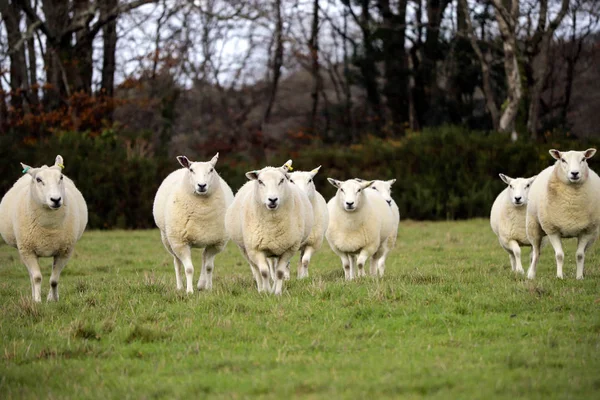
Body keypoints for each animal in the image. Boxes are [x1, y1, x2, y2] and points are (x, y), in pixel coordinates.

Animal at [0, 155, 88, 302]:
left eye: (61, 177)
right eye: (38, 180)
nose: (56, 199)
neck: (48, 227)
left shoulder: (64, 251)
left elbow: (54, 280)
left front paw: (54, 299)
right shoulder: (27, 250)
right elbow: (36, 278)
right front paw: (37, 300)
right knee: (31, 276)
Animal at [151, 153, 233, 294]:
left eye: (211, 170)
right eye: (191, 170)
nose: (202, 185)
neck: (201, 214)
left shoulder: (216, 243)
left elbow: (209, 267)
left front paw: (208, 288)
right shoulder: (180, 242)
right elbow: (189, 269)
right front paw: (189, 291)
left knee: (204, 258)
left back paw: (201, 284)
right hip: (168, 239)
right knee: (177, 263)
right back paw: (180, 287)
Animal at [225, 161, 314, 296]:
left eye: (282, 180)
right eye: (260, 181)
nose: (272, 199)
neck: (272, 226)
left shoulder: (288, 249)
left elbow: (279, 272)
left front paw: (276, 293)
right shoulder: (255, 249)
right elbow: (264, 272)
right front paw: (266, 291)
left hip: (277, 247)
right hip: (245, 249)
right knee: (256, 269)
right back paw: (261, 288)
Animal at [524, 148, 600, 280]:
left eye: (583, 159)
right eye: (563, 160)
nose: (574, 173)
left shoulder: (586, 231)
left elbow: (580, 255)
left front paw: (579, 277)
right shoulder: (552, 230)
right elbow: (559, 255)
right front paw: (559, 276)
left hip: (593, 234)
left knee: (584, 252)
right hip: (533, 226)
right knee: (536, 252)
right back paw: (531, 274)